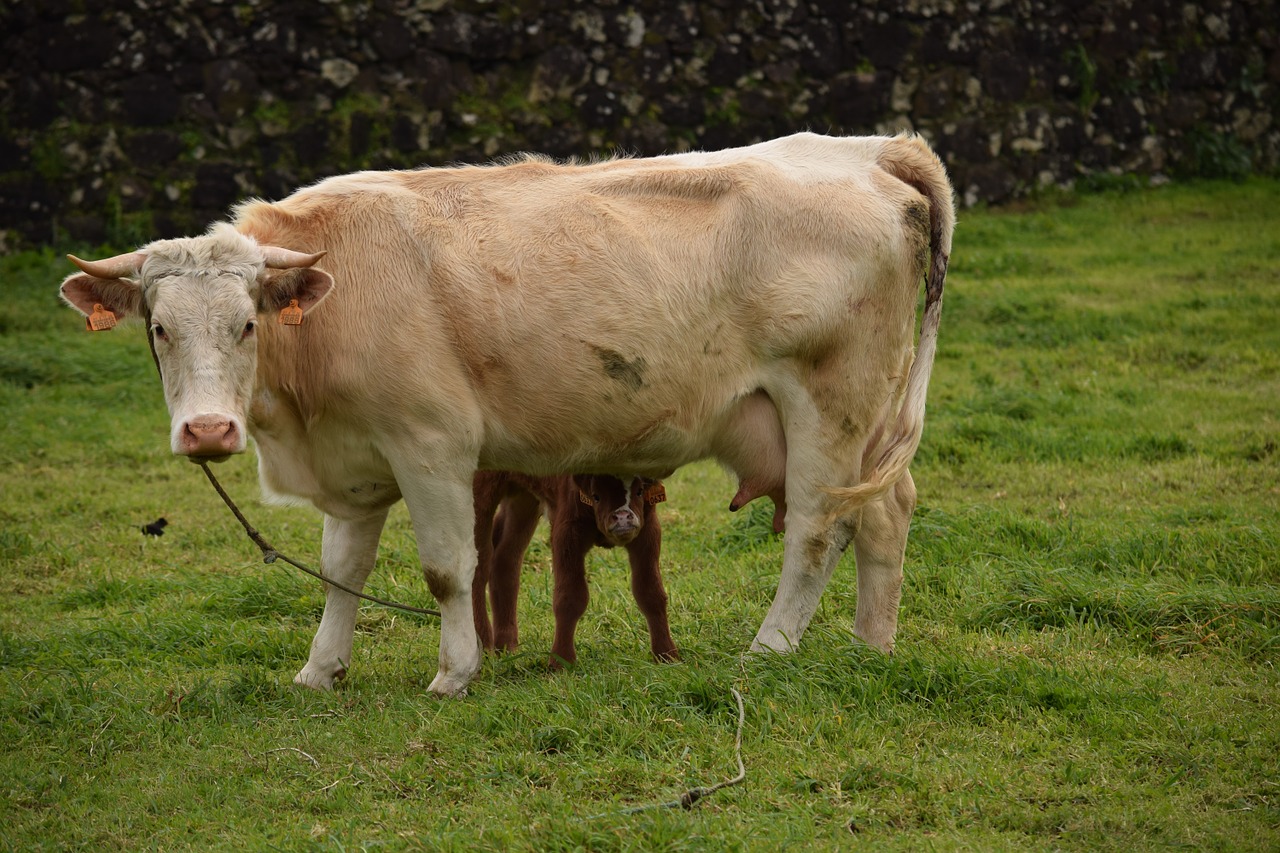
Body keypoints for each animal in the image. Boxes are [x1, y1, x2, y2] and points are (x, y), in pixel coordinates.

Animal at [473, 471, 680, 666]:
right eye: (596, 496)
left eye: (639, 491)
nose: (622, 518)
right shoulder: (567, 532)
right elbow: (570, 597)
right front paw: (561, 662)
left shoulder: (648, 529)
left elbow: (651, 592)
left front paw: (667, 655)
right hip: (479, 491)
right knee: (477, 564)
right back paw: (483, 648)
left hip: (523, 499)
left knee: (506, 558)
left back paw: (506, 648)